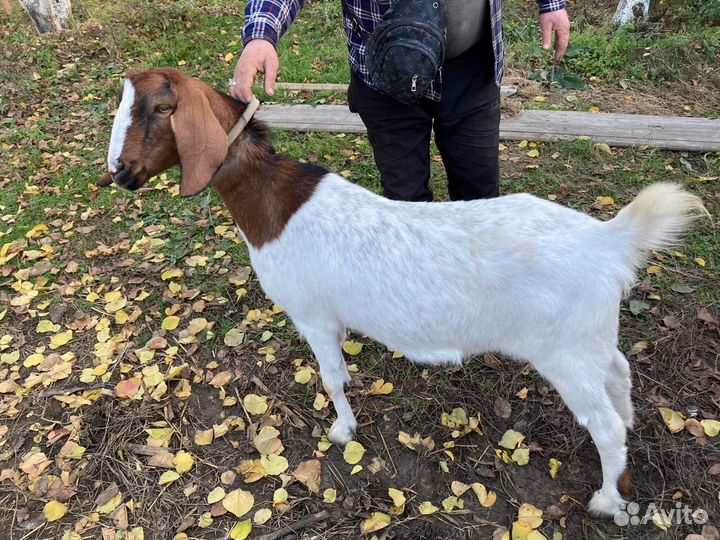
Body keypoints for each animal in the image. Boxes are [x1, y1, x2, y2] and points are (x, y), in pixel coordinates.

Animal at [101, 68, 706, 517]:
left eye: (159, 109)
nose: (119, 171)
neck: (273, 204)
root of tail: (609, 240)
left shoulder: (314, 314)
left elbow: (331, 377)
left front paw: (342, 430)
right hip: (590, 338)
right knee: (620, 374)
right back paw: (627, 437)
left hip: (564, 351)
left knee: (603, 425)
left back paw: (606, 499)